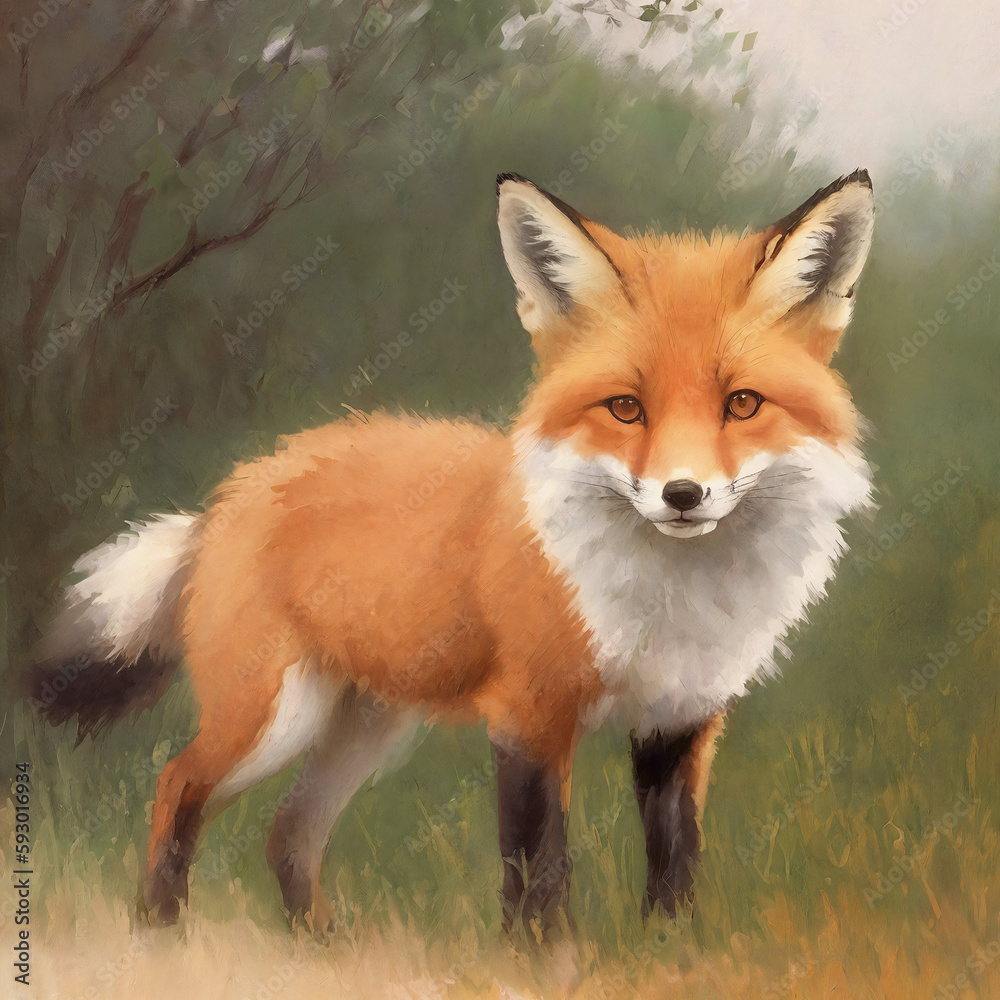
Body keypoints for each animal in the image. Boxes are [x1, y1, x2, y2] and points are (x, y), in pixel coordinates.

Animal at [28, 169, 876, 937]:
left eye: (743, 404)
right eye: (626, 408)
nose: (683, 494)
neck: (672, 598)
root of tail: (236, 488)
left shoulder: (681, 719)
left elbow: (675, 866)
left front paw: (670, 958)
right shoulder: (529, 712)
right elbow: (539, 870)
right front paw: (543, 967)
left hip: (364, 729)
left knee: (288, 833)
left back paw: (324, 951)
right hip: (273, 717)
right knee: (178, 785)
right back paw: (162, 934)